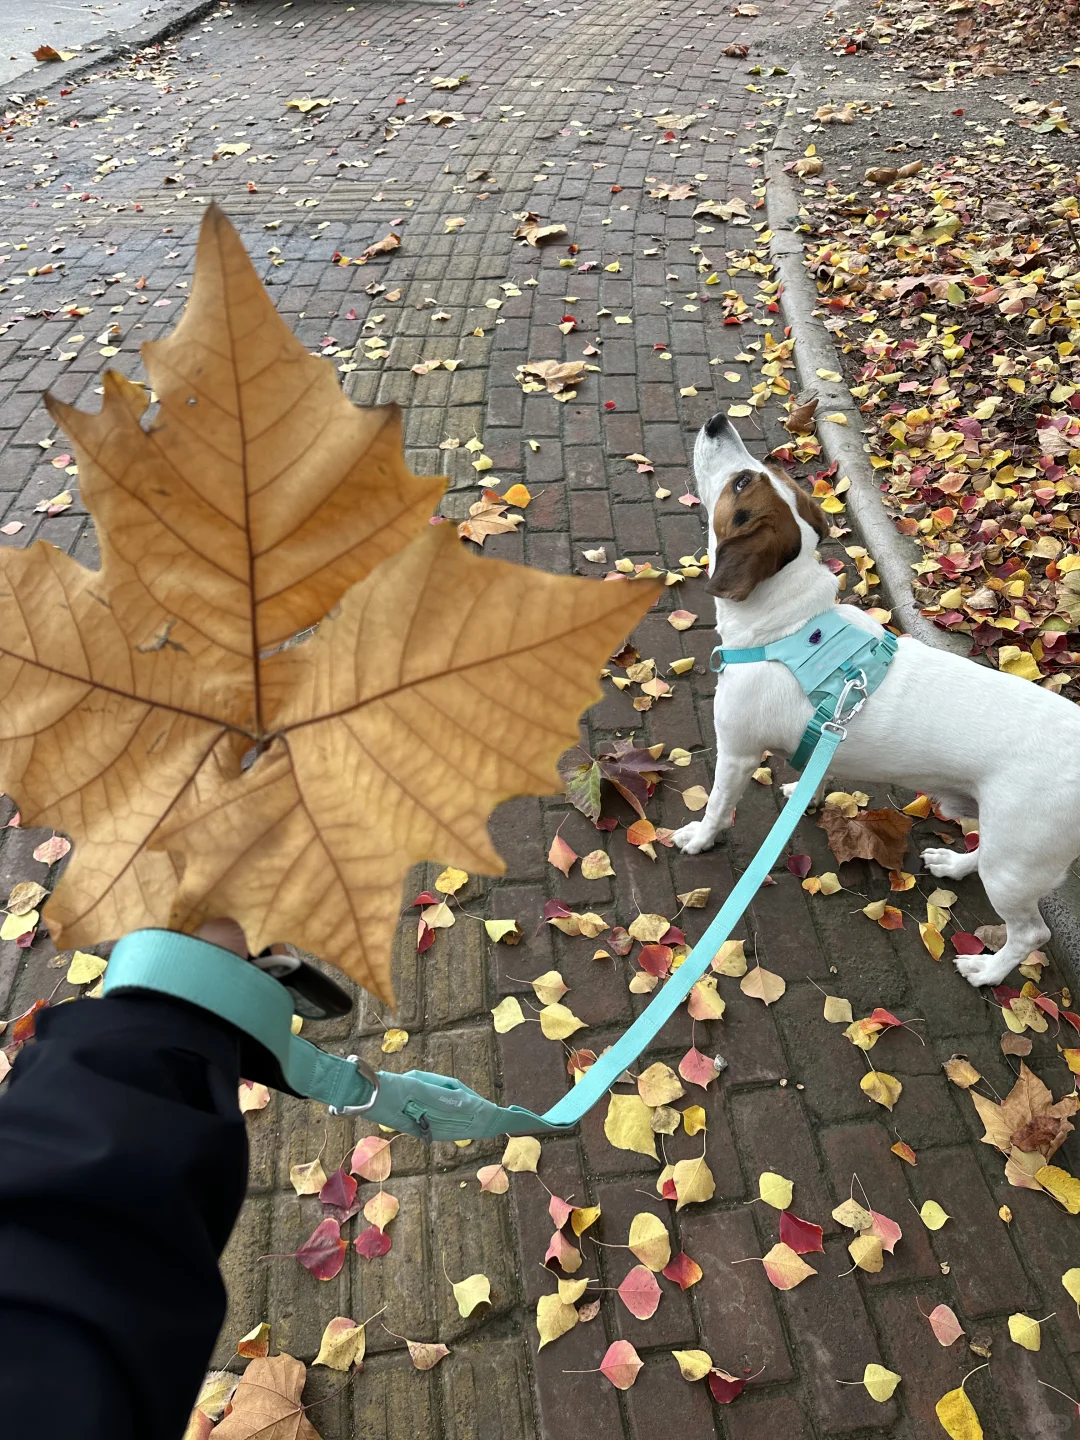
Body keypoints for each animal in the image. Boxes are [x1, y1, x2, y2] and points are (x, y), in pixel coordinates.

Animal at [676, 411, 1080, 984]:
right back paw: (955, 864)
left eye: (740, 483)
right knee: (986, 859)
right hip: (1007, 845)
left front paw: (699, 837)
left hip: (1018, 859)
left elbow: (716, 807)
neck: (789, 623)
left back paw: (988, 971)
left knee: (1031, 933)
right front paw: (806, 793)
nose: (716, 421)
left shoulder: (736, 753)